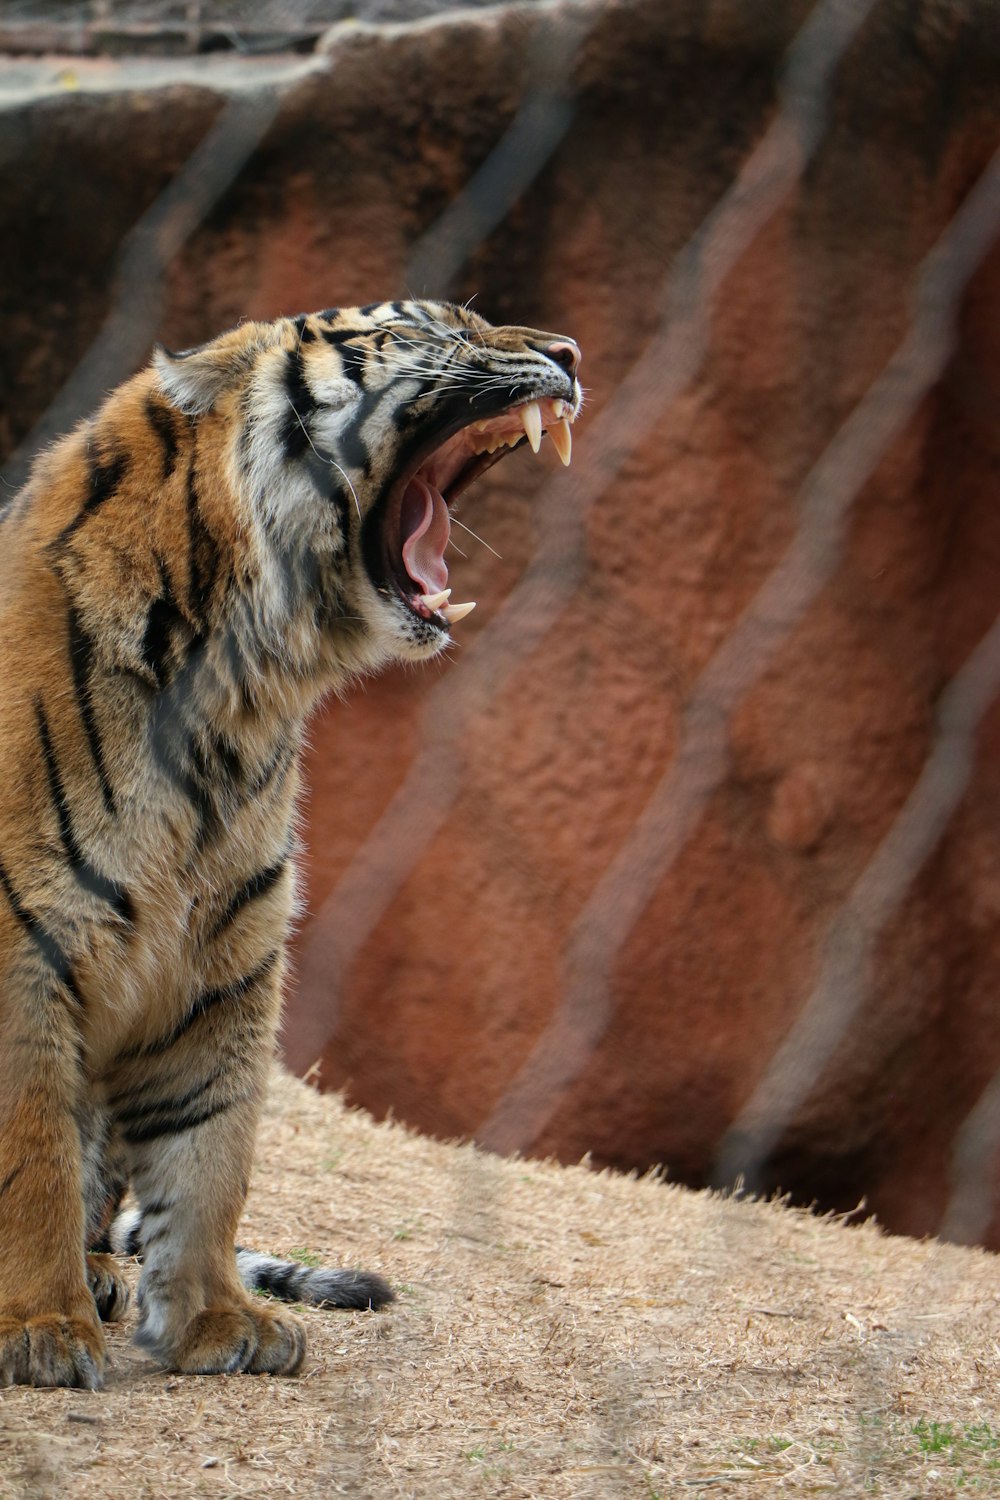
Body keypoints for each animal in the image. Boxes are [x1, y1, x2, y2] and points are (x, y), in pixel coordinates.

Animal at [0, 298, 581, 1386]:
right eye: (432, 328)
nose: (569, 353)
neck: (240, 686)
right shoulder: (23, 945)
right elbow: (34, 1154)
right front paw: (42, 1329)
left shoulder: (227, 950)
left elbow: (209, 1155)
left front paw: (214, 1321)